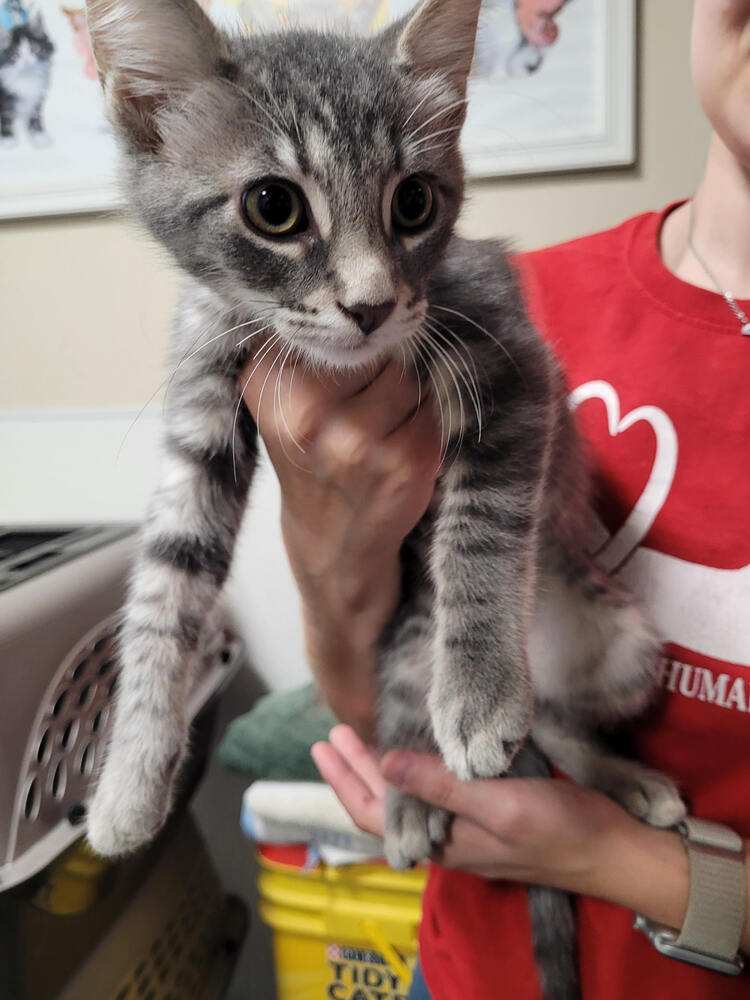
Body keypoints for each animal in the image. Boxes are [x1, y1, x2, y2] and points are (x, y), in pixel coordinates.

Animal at [83, 1, 688, 992]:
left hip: (621, 640)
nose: (370, 306)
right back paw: (412, 798)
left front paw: (478, 692)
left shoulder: (511, 359)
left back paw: (590, 761)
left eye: (415, 202)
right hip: (406, 638)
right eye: (274, 207)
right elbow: (164, 589)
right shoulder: (203, 398)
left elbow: (484, 527)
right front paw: (131, 778)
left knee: (555, 721)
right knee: (422, 713)